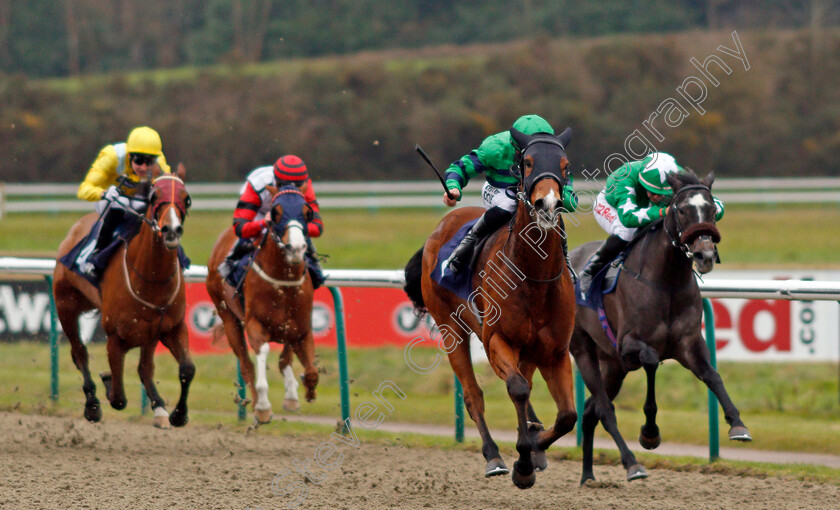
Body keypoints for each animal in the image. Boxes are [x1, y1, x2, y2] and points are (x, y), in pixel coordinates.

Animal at [53, 166, 195, 426]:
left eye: (186, 198)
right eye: (154, 196)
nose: (171, 230)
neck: (151, 279)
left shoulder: (171, 327)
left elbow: (187, 369)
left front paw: (178, 414)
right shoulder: (115, 337)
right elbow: (118, 396)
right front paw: (106, 383)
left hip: (150, 333)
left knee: (145, 368)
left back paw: (158, 406)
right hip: (65, 305)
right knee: (80, 353)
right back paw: (92, 404)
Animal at [206, 185, 318, 424]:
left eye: (307, 212)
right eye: (275, 212)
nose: (296, 248)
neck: (283, 282)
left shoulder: (301, 328)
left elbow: (311, 370)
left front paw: (306, 390)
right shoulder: (255, 324)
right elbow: (262, 353)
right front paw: (264, 407)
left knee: (285, 356)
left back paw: (291, 395)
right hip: (228, 317)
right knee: (246, 364)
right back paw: (259, 405)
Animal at [406, 127, 576, 490]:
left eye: (565, 165)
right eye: (527, 161)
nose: (547, 203)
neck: (534, 277)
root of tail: (439, 228)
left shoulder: (555, 351)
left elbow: (567, 416)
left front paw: (535, 445)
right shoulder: (497, 339)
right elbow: (516, 389)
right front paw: (523, 462)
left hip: (526, 350)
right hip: (451, 329)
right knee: (474, 395)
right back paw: (494, 456)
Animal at [568, 169, 752, 484]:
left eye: (711, 209)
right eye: (681, 210)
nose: (704, 255)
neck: (666, 282)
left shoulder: (689, 342)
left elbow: (712, 375)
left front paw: (737, 424)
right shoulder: (628, 344)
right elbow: (652, 361)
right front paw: (650, 433)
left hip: (612, 366)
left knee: (591, 411)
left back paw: (588, 475)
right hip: (584, 351)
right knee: (604, 409)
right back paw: (632, 465)